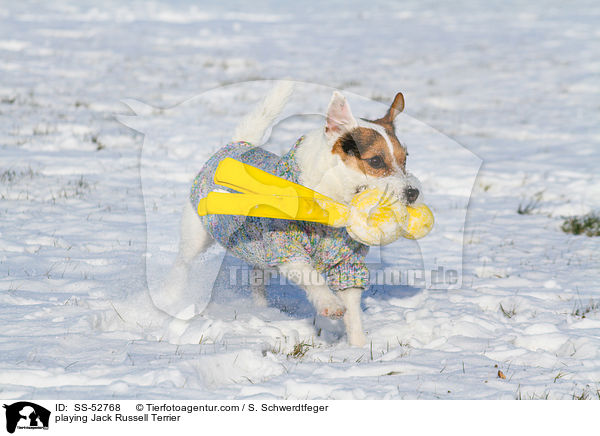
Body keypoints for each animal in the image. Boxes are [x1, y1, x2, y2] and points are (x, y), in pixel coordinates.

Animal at [164, 82, 422, 348]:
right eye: (376, 161)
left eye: (405, 159)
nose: (413, 192)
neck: (332, 203)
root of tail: (237, 144)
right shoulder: (287, 249)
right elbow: (312, 276)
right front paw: (329, 304)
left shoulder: (347, 262)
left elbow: (352, 307)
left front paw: (357, 346)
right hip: (197, 234)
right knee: (182, 263)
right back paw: (171, 297)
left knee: (257, 277)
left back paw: (262, 309)